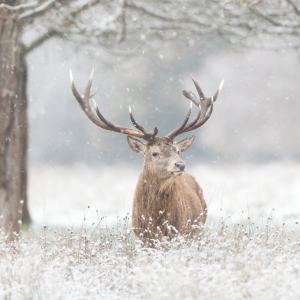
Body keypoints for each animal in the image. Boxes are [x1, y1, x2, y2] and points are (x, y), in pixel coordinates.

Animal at [69, 70, 223, 239]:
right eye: (155, 153)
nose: (180, 165)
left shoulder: (178, 233)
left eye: (177, 151)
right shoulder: (141, 236)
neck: (155, 221)